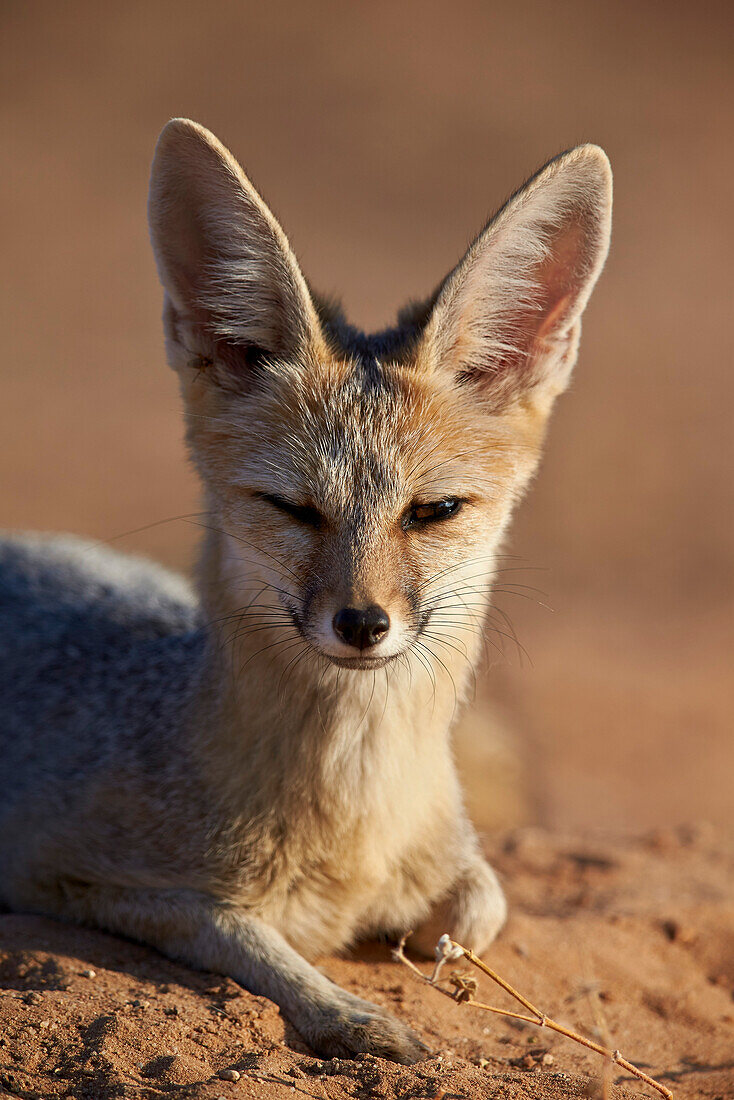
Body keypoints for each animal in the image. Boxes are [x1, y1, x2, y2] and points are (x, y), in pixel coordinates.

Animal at [0, 122, 611, 1064]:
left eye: (434, 511)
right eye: (292, 508)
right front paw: (349, 1012)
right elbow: (233, 927)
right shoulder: (61, 873)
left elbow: (481, 905)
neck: (351, 824)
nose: (362, 623)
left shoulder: (462, 858)